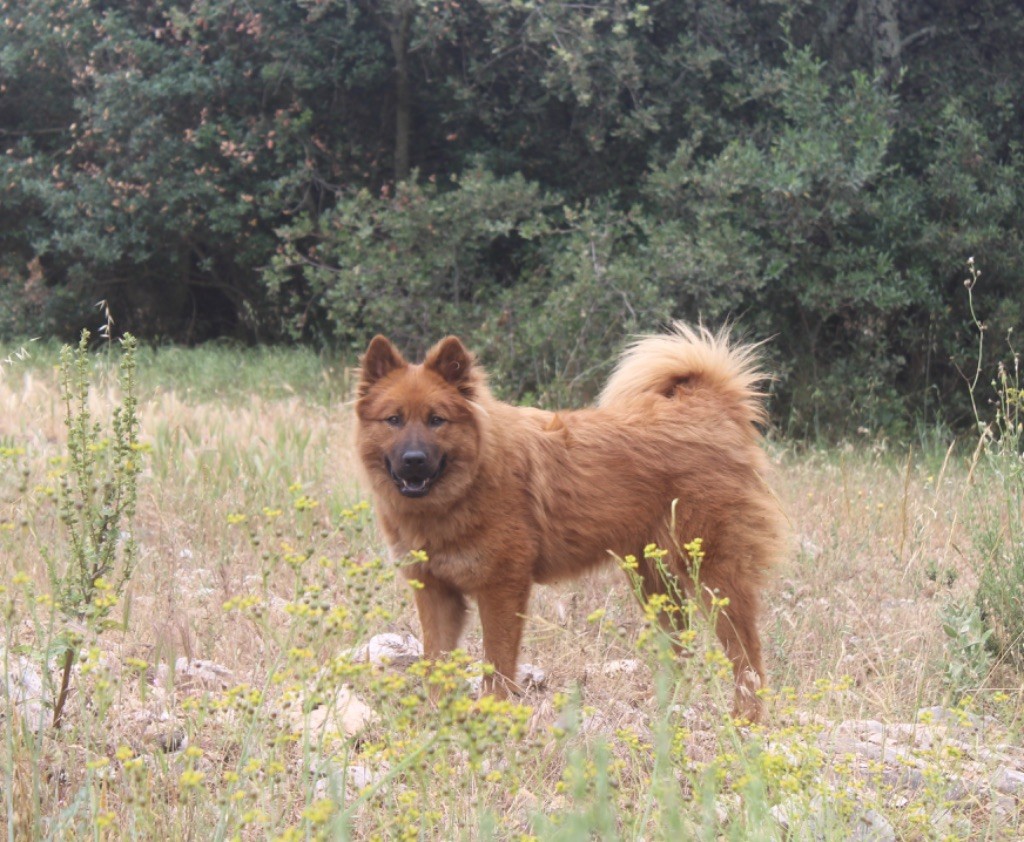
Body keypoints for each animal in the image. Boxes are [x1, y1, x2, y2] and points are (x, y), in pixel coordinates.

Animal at [356, 325, 786, 721]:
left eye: (436, 420)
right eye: (393, 420)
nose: (413, 460)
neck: (464, 488)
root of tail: (712, 407)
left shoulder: (501, 589)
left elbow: (497, 665)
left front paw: (493, 716)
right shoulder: (435, 593)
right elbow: (435, 663)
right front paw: (438, 719)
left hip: (714, 576)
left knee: (746, 657)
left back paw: (746, 718)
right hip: (654, 581)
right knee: (680, 647)